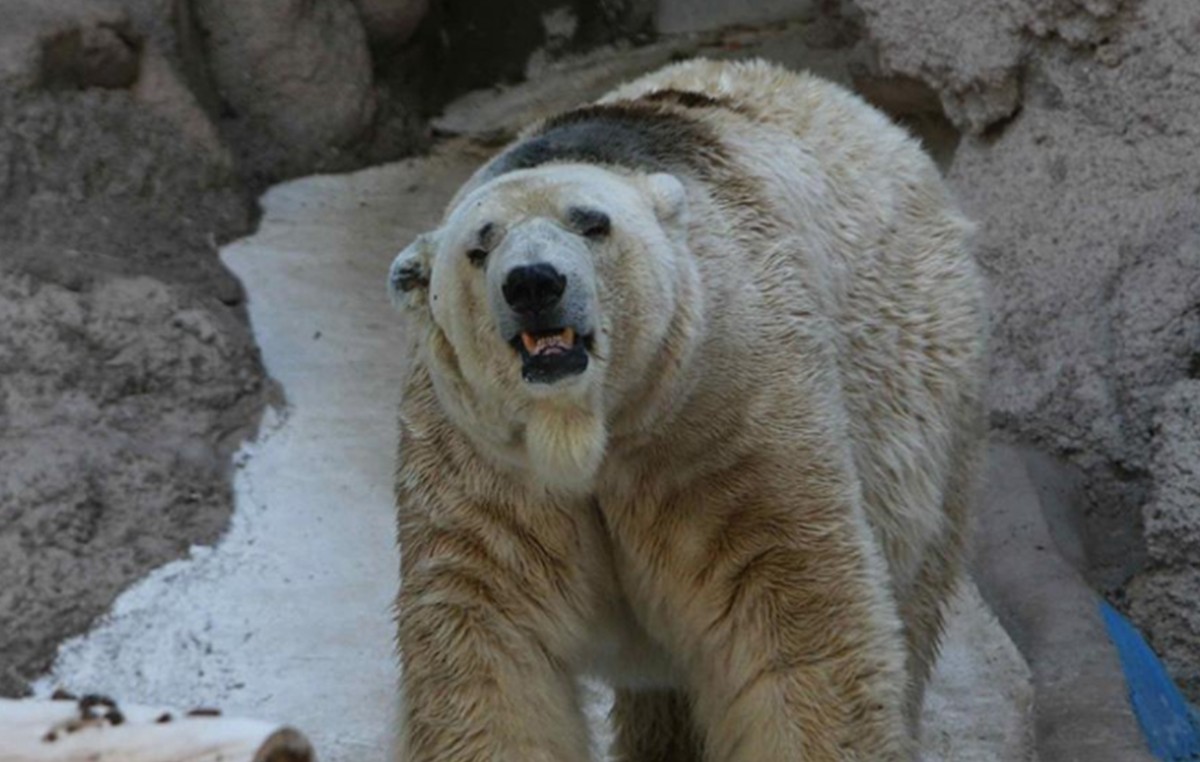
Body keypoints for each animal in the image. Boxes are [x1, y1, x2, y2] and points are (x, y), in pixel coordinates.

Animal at [387, 58, 987, 762]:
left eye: (592, 222)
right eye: (479, 247)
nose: (534, 283)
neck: (589, 428)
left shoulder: (722, 414)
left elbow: (792, 617)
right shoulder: (481, 457)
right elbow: (486, 639)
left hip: (931, 383)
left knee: (915, 592)